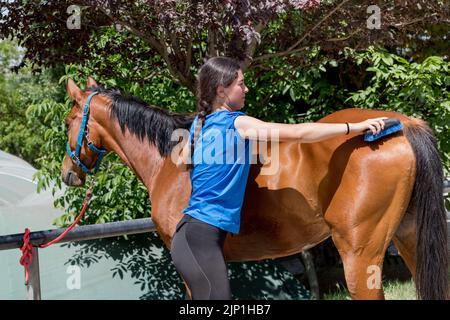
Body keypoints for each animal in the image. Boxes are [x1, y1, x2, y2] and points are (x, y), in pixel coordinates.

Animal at [61, 77, 448, 300]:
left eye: (68, 120)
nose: (68, 174)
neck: (171, 160)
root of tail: (403, 125)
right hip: (409, 240)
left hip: (360, 256)